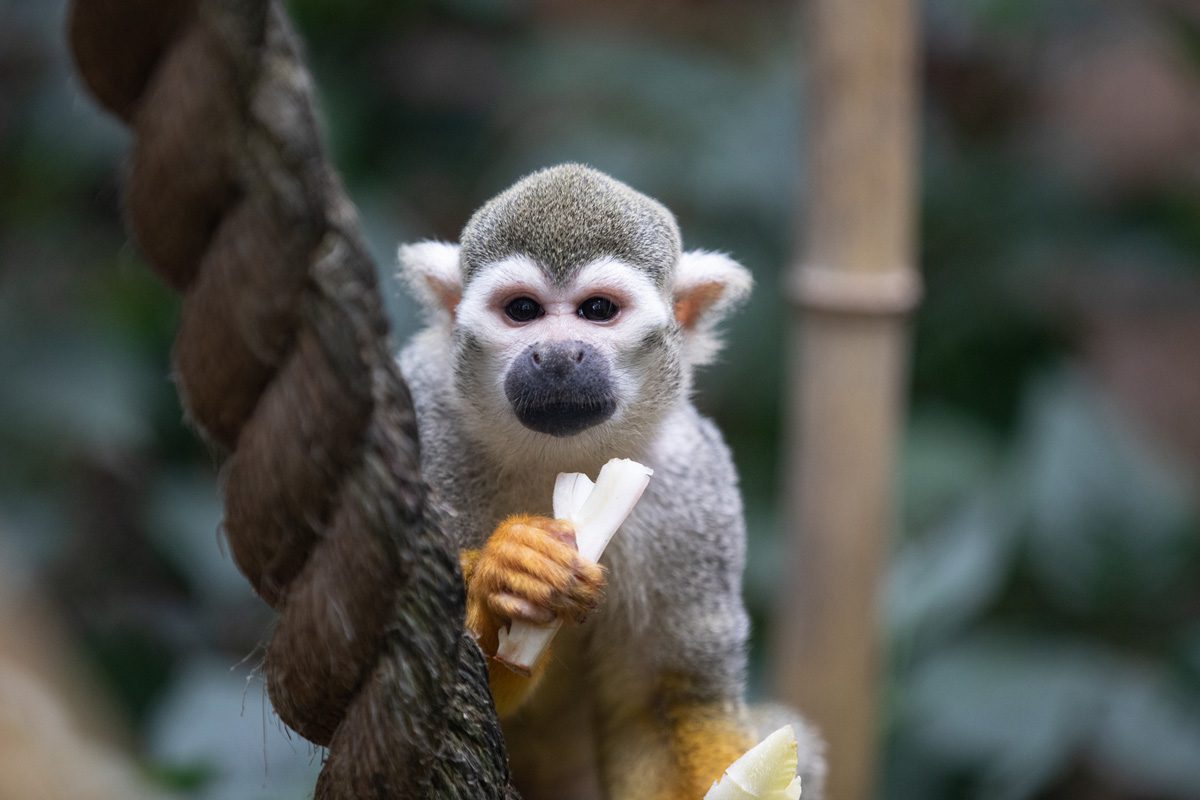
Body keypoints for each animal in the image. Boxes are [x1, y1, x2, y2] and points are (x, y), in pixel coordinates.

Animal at [398, 165, 820, 796]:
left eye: (597, 310)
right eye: (522, 310)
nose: (555, 356)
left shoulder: (694, 489)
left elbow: (663, 700)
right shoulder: (428, 429)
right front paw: (510, 579)